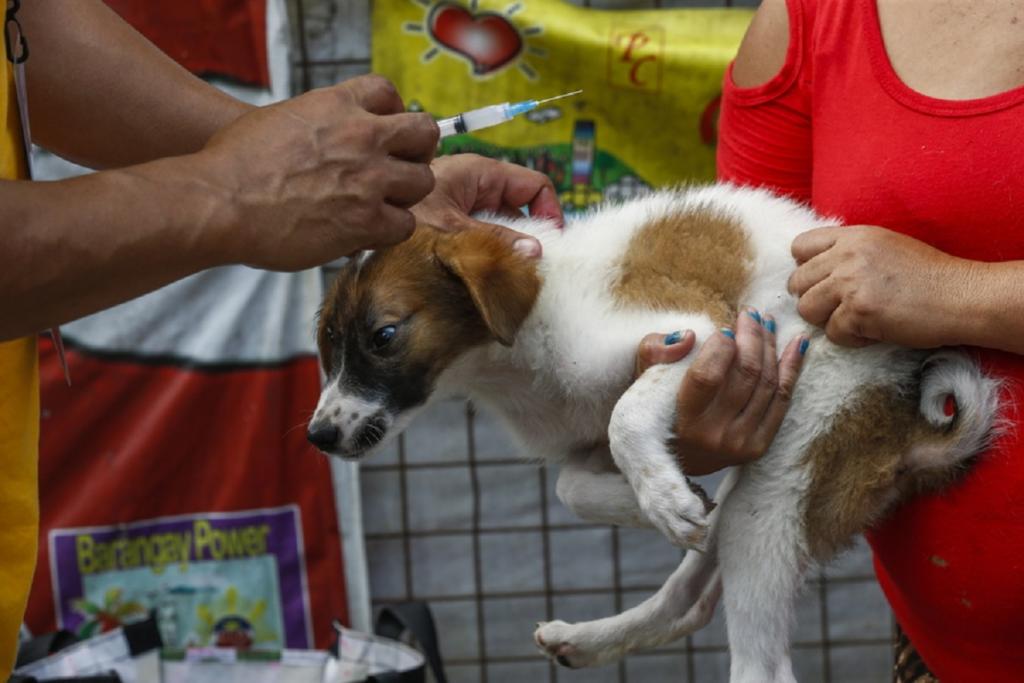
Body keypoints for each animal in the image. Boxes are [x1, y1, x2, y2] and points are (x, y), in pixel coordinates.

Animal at [305, 184, 999, 679]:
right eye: (328, 347)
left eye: (384, 336)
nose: (318, 436)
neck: (523, 343)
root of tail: (910, 421)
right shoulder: (587, 435)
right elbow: (571, 486)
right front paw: (660, 501)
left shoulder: (697, 332)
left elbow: (627, 418)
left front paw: (663, 499)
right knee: (691, 596)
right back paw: (589, 638)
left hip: (789, 466)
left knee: (763, 665)